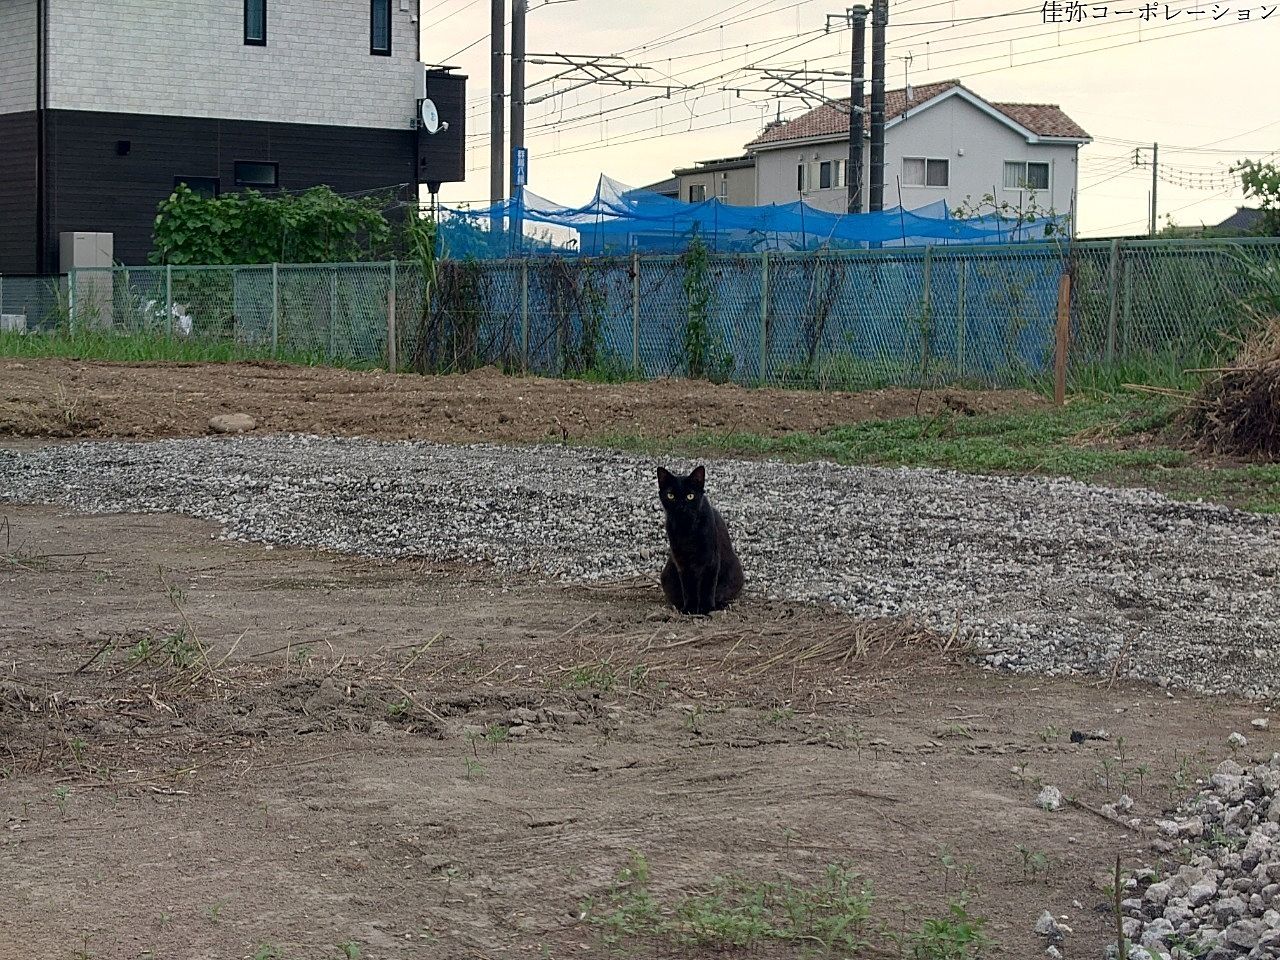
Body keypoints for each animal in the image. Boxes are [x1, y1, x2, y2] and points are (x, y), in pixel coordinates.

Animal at [655, 465, 747, 616]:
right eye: (671, 496)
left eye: (690, 496)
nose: (681, 507)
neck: (687, 530)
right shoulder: (682, 562)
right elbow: (688, 588)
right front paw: (690, 609)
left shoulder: (711, 561)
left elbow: (707, 588)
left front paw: (705, 608)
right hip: (667, 576)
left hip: (734, 573)